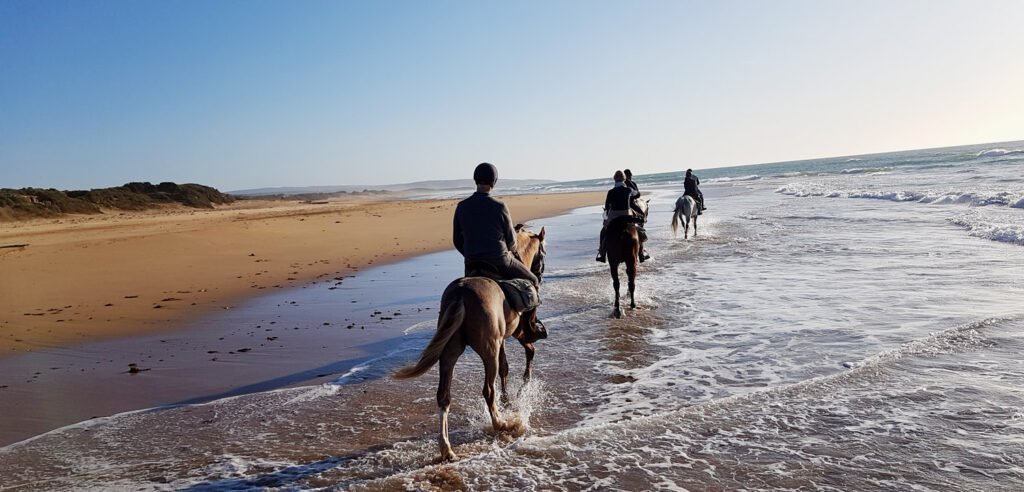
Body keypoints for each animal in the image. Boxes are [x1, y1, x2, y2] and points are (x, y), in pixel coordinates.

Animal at [393, 224, 548, 459]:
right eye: (542, 253)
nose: (540, 274)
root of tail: (461, 294)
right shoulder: (514, 334)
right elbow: (525, 354)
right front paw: (520, 389)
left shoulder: (503, 340)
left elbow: (506, 367)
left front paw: (509, 398)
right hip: (488, 350)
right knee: (488, 390)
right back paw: (502, 423)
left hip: (449, 351)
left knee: (443, 396)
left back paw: (446, 448)